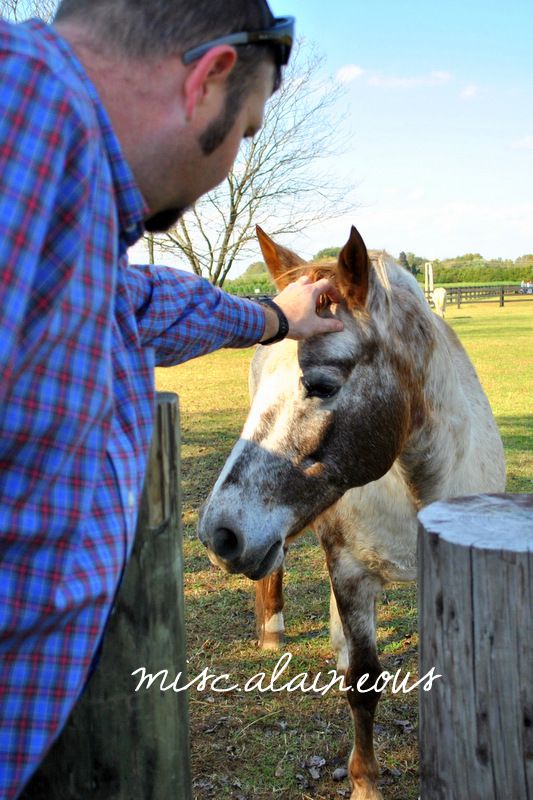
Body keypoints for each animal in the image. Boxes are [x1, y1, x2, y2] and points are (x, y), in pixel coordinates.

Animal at [197, 225, 504, 800]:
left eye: (321, 385)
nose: (219, 534)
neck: (416, 488)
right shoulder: (351, 571)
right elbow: (363, 682)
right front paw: (365, 783)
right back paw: (273, 631)